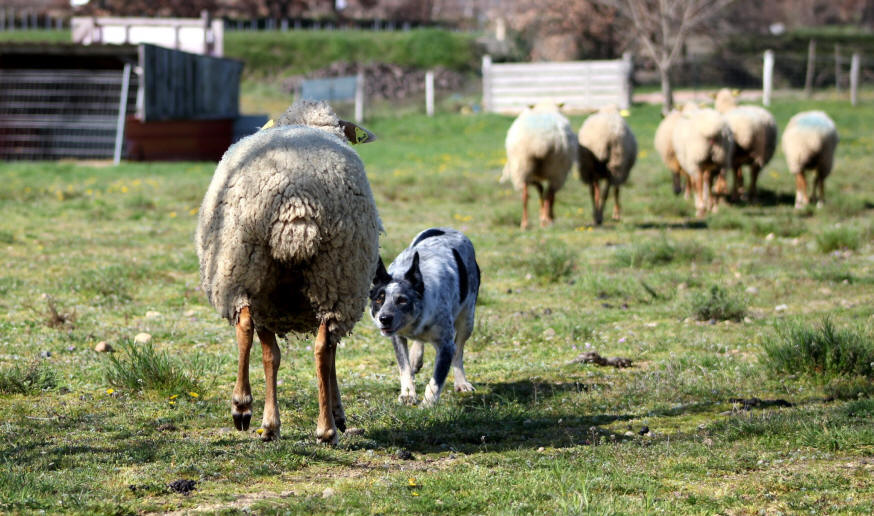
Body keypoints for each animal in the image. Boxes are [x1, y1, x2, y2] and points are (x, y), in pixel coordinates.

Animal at [198, 100, 382, 444]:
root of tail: (296, 200)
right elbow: (320, 356)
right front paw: (337, 412)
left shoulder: (273, 306)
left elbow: (272, 356)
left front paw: (270, 423)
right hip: (335, 278)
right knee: (322, 349)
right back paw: (325, 429)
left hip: (249, 273)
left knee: (247, 326)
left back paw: (243, 406)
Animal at [366, 228, 480, 406]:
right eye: (379, 299)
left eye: (403, 300)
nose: (384, 319)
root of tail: (447, 229)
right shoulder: (397, 338)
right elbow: (404, 367)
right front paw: (408, 394)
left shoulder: (446, 345)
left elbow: (437, 379)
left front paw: (428, 404)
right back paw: (415, 358)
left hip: (467, 320)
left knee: (459, 350)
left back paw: (461, 382)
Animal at [498, 100, 580, 228]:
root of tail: (541, 142)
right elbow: (545, 192)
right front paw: (548, 216)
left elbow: (540, 188)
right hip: (555, 168)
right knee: (549, 194)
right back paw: (546, 219)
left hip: (523, 166)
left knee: (526, 195)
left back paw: (525, 223)